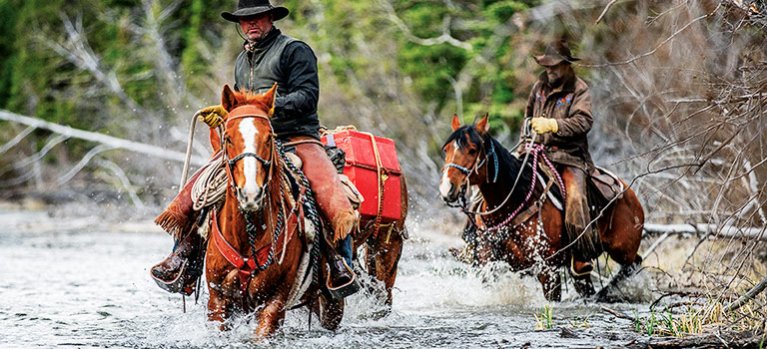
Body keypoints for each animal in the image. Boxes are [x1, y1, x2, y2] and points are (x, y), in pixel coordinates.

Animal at [440, 114, 644, 300]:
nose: (447, 188)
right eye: (446, 150)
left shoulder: (548, 270)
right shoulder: (487, 266)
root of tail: (630, 193)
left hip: (623, 249)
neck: (511, 204)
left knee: (634, 264)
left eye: (473, 150)